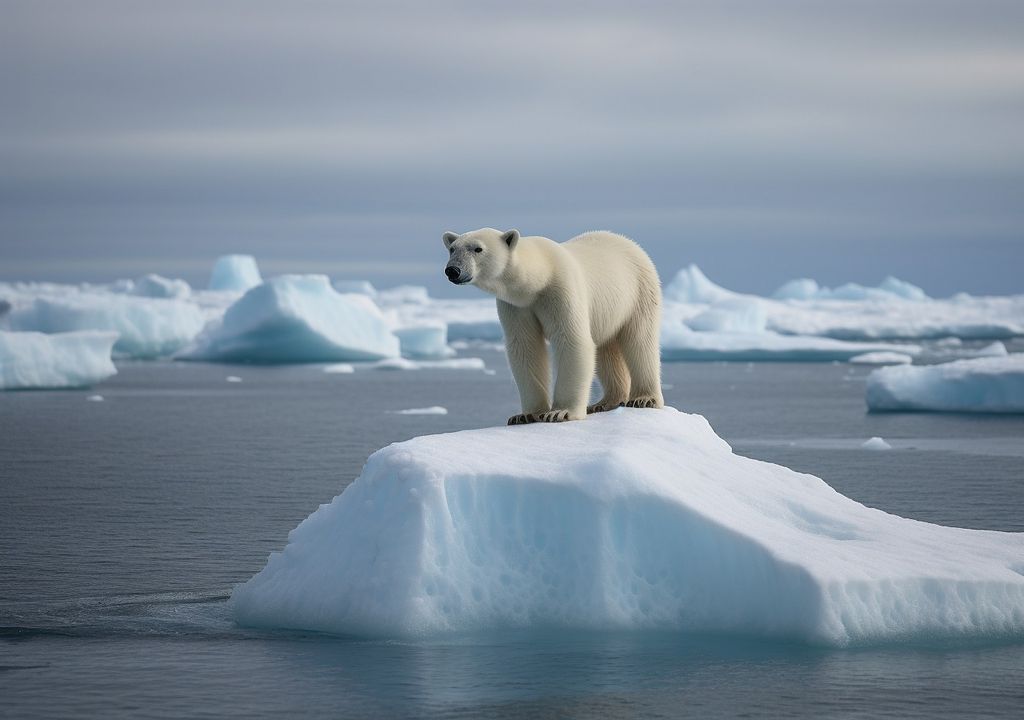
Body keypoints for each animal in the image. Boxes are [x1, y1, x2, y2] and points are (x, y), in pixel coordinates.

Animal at [442, 228, 663, 426]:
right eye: (452, 249)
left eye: (478, 249)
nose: (453, 270)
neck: (540, 277)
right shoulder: (516, 306)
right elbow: (525, 347)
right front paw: (525, 415)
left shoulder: (561, 291)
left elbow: (572, 341)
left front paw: (560, 412)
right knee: (606, 347)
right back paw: (605, 402)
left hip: (639, 291)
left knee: (640, 340)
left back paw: (644, 399)